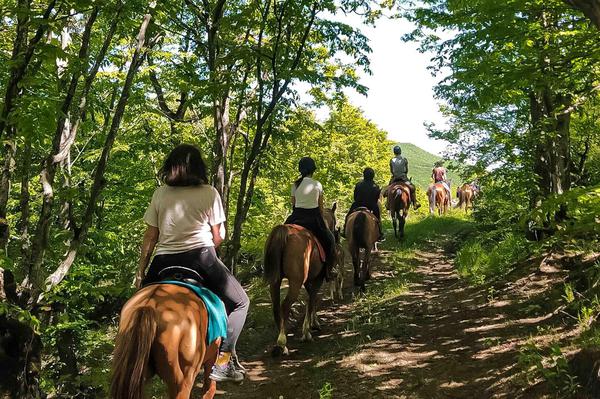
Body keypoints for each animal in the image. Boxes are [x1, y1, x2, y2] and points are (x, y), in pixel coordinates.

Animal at [262, 203, 338, 356]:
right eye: (335, 221)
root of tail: (284, 231)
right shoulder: (317, 279)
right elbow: (312, 300)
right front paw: (307, 332)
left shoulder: (309, 281)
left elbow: (311, 300)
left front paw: (314, 323)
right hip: (296, 282)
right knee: (285, 305)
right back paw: (281, 342)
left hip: (275, 281)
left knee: (276, 307)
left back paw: (283, 344)